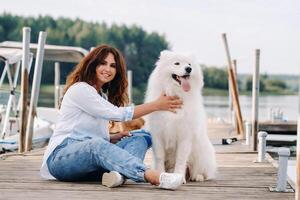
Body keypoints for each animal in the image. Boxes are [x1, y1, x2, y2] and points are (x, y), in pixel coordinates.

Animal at [145, 50, 217, 183]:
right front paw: (159, 173)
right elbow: (159, 157)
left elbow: (181, 159)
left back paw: (197, 177)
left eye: (189, 64)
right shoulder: (157, 134)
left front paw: (179, 177)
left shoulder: (185, 135)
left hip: (202, 153)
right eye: (177, 63)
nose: (189, 69)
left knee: (200, 171)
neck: (176, 93)